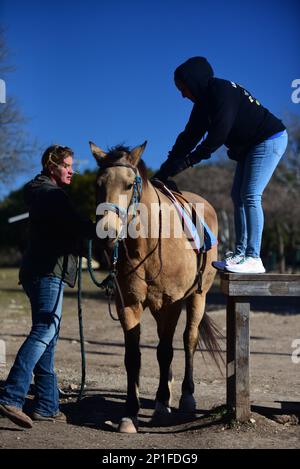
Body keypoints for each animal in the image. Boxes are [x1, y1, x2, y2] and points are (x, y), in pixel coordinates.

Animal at [90, 141, 221, 434]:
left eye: (129, 185)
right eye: (98, 184)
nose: (106, 232)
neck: (149, 243)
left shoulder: (171, 303)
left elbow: (165, 351)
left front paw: (161, 405)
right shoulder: (128, 304)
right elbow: (133, 357)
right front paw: (130, 413)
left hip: (197, 297)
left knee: (187, 340)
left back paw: (184, 396)